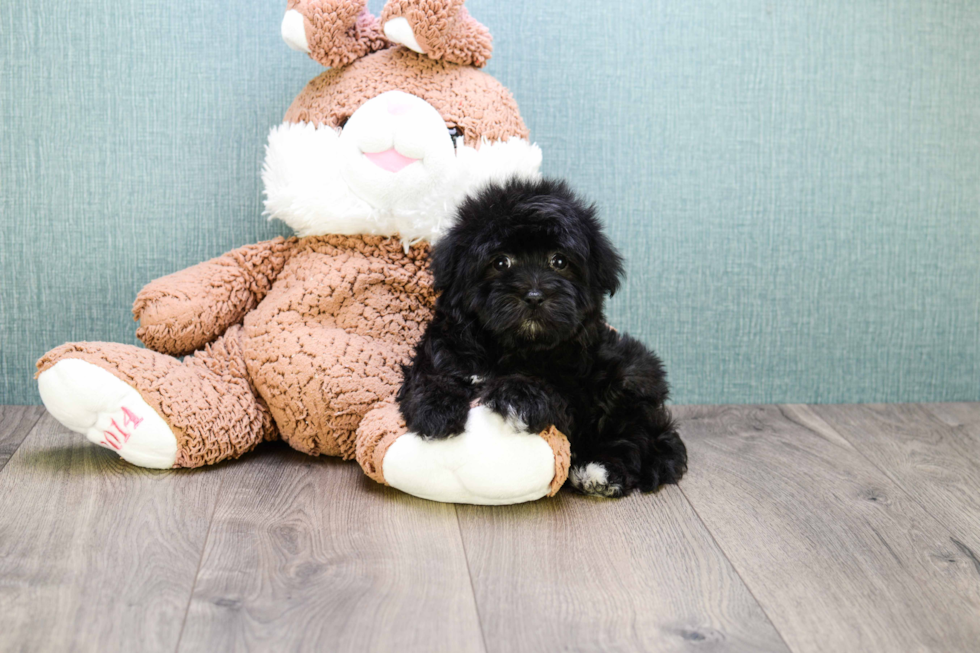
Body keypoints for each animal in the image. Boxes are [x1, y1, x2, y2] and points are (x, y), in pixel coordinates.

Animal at [394, 177, 684, 494]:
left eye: (559, 261)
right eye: (500, 262)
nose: (534, 296)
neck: (511, 347)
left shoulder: (578, 383)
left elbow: (556, 392)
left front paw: (520, 396)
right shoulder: (446, 346)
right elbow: (431, 373)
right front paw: (436, 408)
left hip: (631, 375)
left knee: (637, 437)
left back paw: (601, 470)